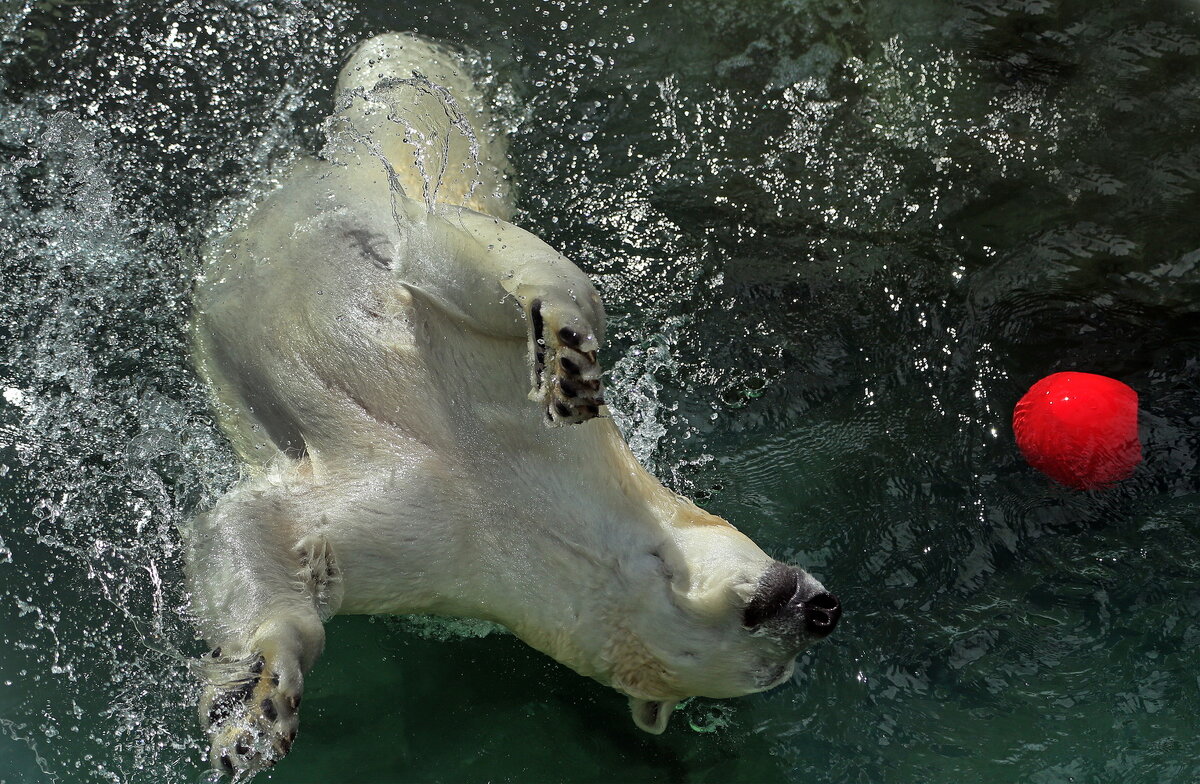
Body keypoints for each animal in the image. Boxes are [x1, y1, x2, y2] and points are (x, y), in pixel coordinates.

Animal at [189, 33, 844, 773]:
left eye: (772, 669)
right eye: (762, 624)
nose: (822, 611)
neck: (540, 512)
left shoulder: (442, 553)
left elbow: (263, 529)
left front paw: (253, 704)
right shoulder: (496, 408)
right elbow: (469, 273)